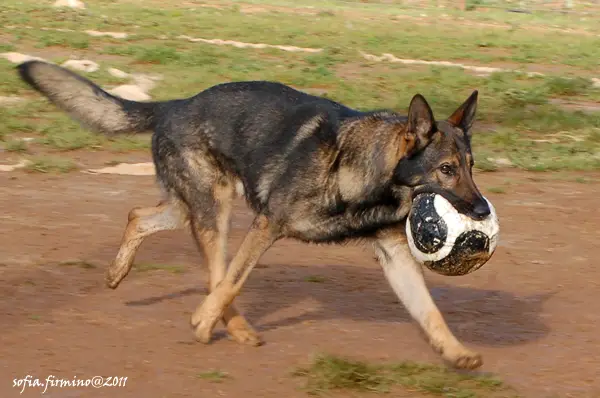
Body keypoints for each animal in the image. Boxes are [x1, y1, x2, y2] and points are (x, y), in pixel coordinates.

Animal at [18, 59, 492, 370]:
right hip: (217, 210)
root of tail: (174, 104)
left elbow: (430, 311)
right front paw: (202, 321)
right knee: (217, 273)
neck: (363, 170)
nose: (483, 209)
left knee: (138, 215)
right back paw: (232, 325)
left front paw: (456, 353)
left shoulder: (395, 257)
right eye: (446, 169)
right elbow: (232, 281)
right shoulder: (266, 226)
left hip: (189, 209)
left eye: (471, 166)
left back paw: (119, 273)